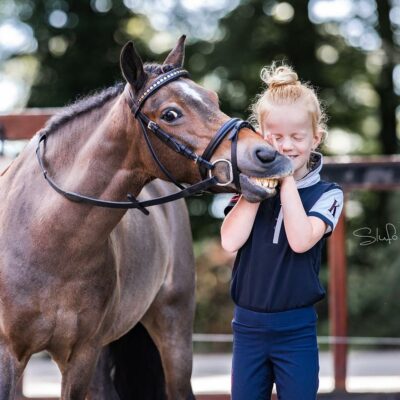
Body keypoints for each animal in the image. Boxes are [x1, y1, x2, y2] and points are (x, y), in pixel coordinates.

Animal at [0, 36, 294, 398]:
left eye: (213, 98)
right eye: (170, 113)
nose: (268, 155)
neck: (46, 237)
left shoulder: (81, 356)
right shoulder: (10, 354)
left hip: (172, 330)